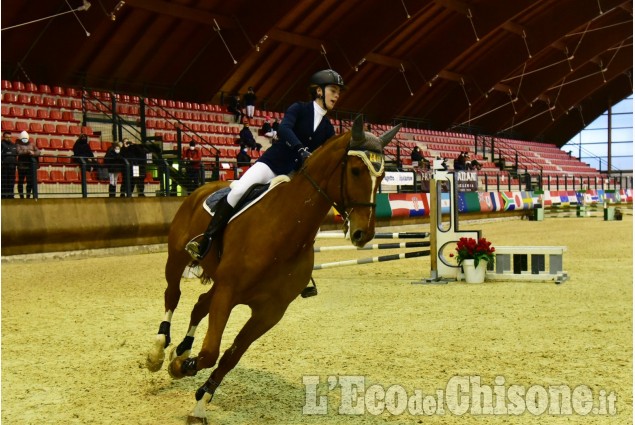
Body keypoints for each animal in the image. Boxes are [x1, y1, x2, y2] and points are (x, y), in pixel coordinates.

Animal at [147, 114, 400, 422]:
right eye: (354, 171)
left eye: (382, 177)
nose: (364, 233)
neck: (284, 229)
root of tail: (202, 188)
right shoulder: (228, 292)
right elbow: (210, 352)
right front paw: (180, 368)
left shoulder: (269, 312)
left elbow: (229, 357)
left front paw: (199, 398)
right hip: (177, 260)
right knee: (173, 295)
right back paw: (159, 352)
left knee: (199, 304)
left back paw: (182, 352)